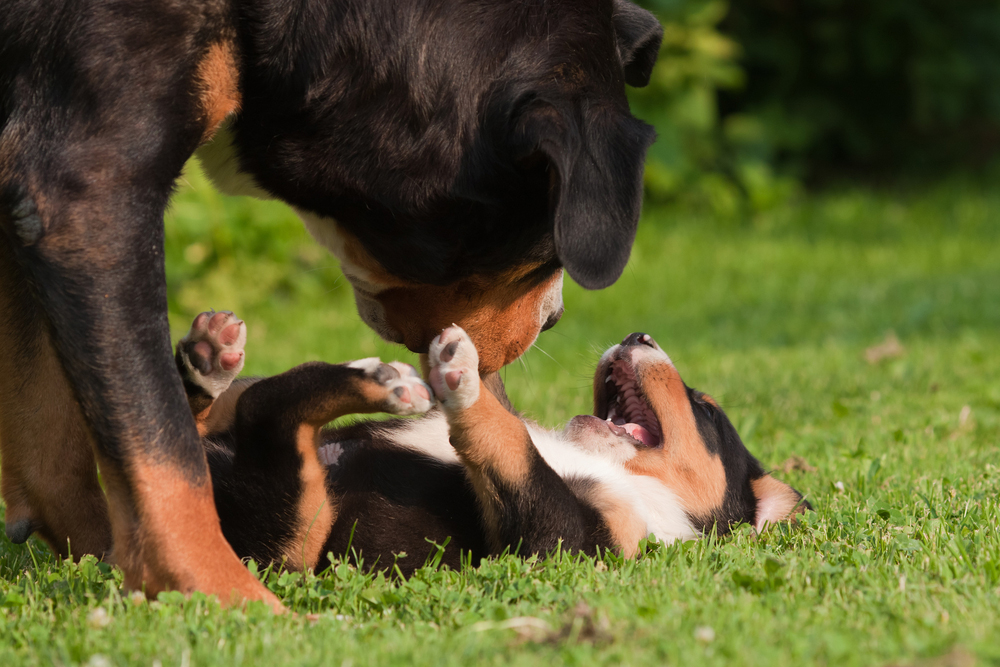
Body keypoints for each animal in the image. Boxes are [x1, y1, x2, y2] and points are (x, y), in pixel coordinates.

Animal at [0, 0, 664, 604]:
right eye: (544, 252)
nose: (553, 320)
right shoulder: (89, 193)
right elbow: (160, 456)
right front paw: (224, 598)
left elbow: (58, 452)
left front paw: (107, 565)